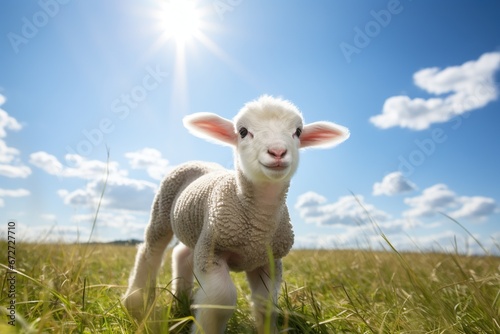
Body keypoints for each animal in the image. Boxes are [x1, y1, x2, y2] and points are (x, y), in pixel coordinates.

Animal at [123, 95, 350, 332]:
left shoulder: (268, 260)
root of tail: (199, 161)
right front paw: (206, 327)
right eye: (242, 131)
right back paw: (135, 302)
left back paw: (182, 300)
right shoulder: (212, 249)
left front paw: (267, 329)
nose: (277, 152)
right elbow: (221, 298)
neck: (257, 224)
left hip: (197, 227)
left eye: (297, 131)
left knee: (181, 254)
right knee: (150, 251)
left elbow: (266, 303)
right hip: (163, 208)